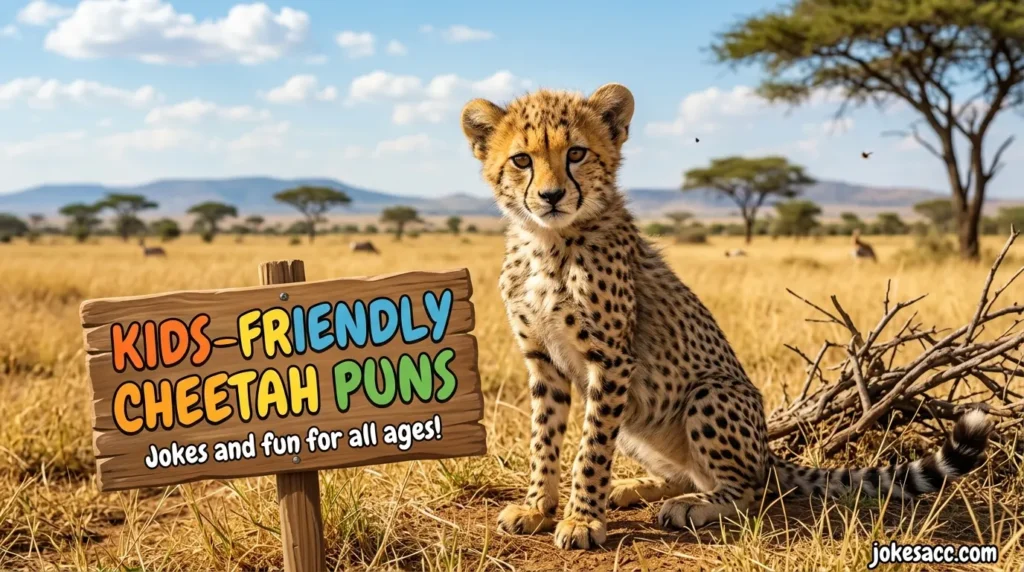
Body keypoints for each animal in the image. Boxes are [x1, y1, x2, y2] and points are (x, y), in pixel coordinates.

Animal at [459, 82, 993, 551]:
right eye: (522, 160)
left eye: (576, 154)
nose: (550, 197)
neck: (547, 241)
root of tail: (768, 453)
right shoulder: (544, 361)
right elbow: (544, 438)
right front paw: (538, 507)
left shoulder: (610, 363)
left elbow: (590, 449)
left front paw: (582, 519)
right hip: (637, 421)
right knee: (684, 473)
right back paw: (635, 488)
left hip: (711, 393)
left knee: (750, 490)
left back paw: (692, 505)